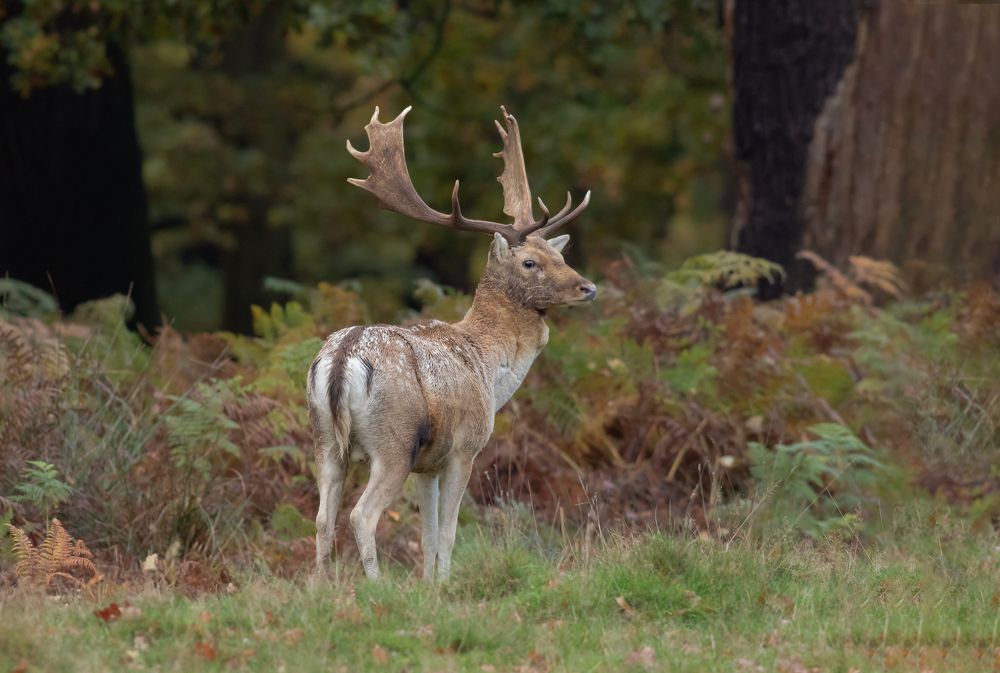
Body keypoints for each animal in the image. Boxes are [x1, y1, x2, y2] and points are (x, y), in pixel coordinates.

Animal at [307, 105, 596, 581]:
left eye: (561, 255)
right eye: (529, 262)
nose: (587, 287)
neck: (490, 368)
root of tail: (342, 360)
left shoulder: (429, 464)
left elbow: (426, 535)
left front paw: (428, 586)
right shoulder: (464, 446)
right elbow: (448, 533)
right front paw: (443, 585)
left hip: (326, 441)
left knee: (322, 519)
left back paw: (321, 588)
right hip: (394, 441)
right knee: (361, 515)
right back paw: (375, 586)